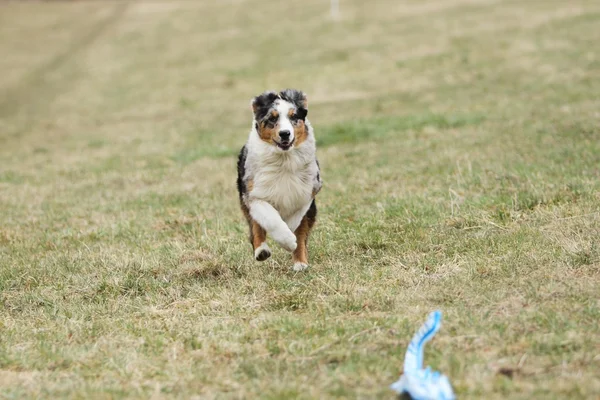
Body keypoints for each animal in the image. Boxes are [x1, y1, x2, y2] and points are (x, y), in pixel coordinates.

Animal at [237, 90, 324, 272]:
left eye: (294, 116)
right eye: (272, 118)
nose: (285, 133)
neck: (284, 159)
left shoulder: (309, 191)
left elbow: (297, 222)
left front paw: (292, 238)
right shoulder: (254, 195)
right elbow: (271, 219)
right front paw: (287, 241)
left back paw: (300, 263)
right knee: (255, 226)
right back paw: (261, 250)